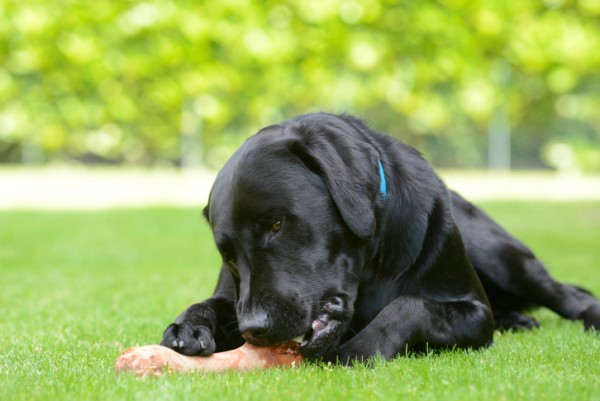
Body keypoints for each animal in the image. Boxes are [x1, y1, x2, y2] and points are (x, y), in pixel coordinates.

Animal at [161, 112, 600, 362]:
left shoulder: (474, 310)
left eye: (276, 225)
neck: (371, 269)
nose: (254, 329)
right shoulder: (232, 295)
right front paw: (188, 325)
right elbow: (211, 303)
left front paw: (358, 349)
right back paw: (518, 319)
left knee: (566, 294)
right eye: (229, 255)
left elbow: (409, 305)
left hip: (498, 254)